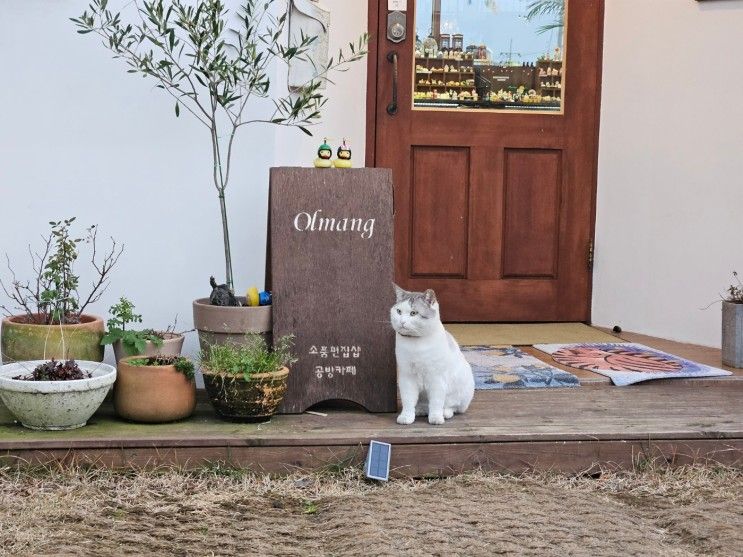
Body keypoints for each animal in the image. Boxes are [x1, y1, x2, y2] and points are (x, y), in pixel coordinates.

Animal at [392, 284, 474, 424]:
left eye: (413, 313)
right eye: (399, 311)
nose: (402, 321)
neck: (415, 344)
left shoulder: (436, 378)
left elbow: (436, 402)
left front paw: (436, 418)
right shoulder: (407, 377)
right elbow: (408, 400)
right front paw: (406, 417)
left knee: (453, 407)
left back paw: (444, 413)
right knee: (424, 405)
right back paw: (420, 410)